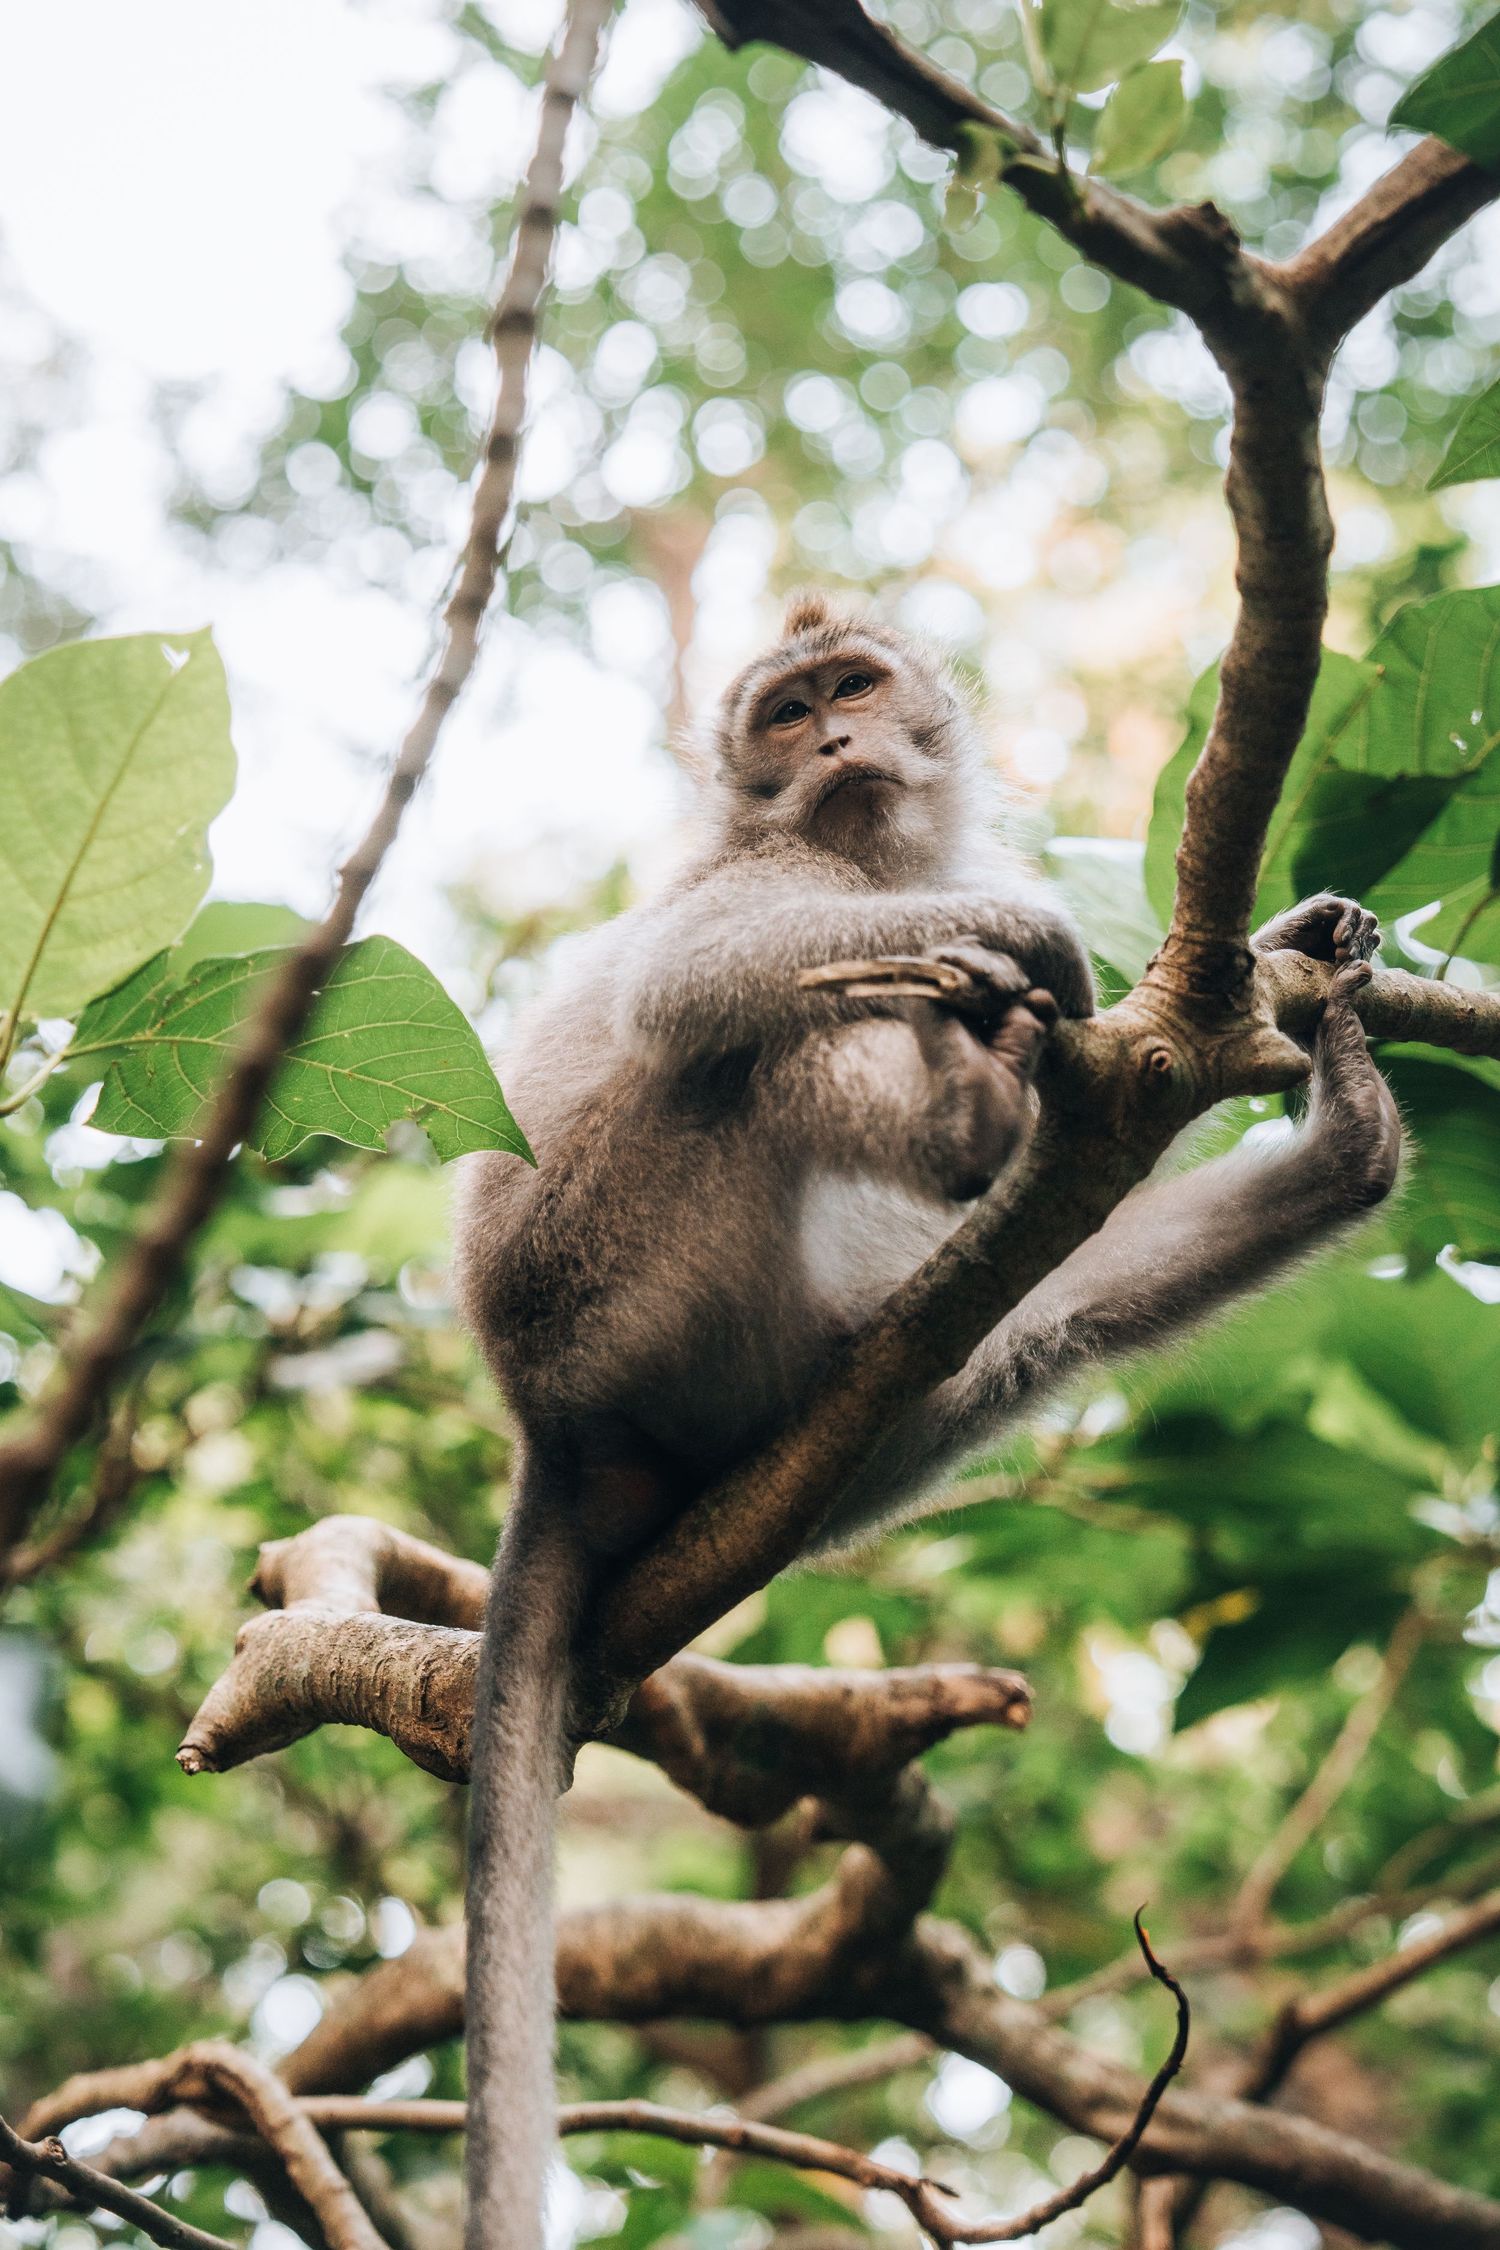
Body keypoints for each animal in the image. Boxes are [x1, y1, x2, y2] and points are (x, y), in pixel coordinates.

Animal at [452, 592, 1400, 2250]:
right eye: (787, 713)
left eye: (854, 687)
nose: (833, 735)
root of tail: (542, 1425)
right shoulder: (781, 876)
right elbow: (689, 984)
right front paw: (1031, 943)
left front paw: (1284, 958)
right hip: (606, 1273)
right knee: (753, 1038)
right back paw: (963, 1112)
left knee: (1026, 1325)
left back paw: (1341, 1141)